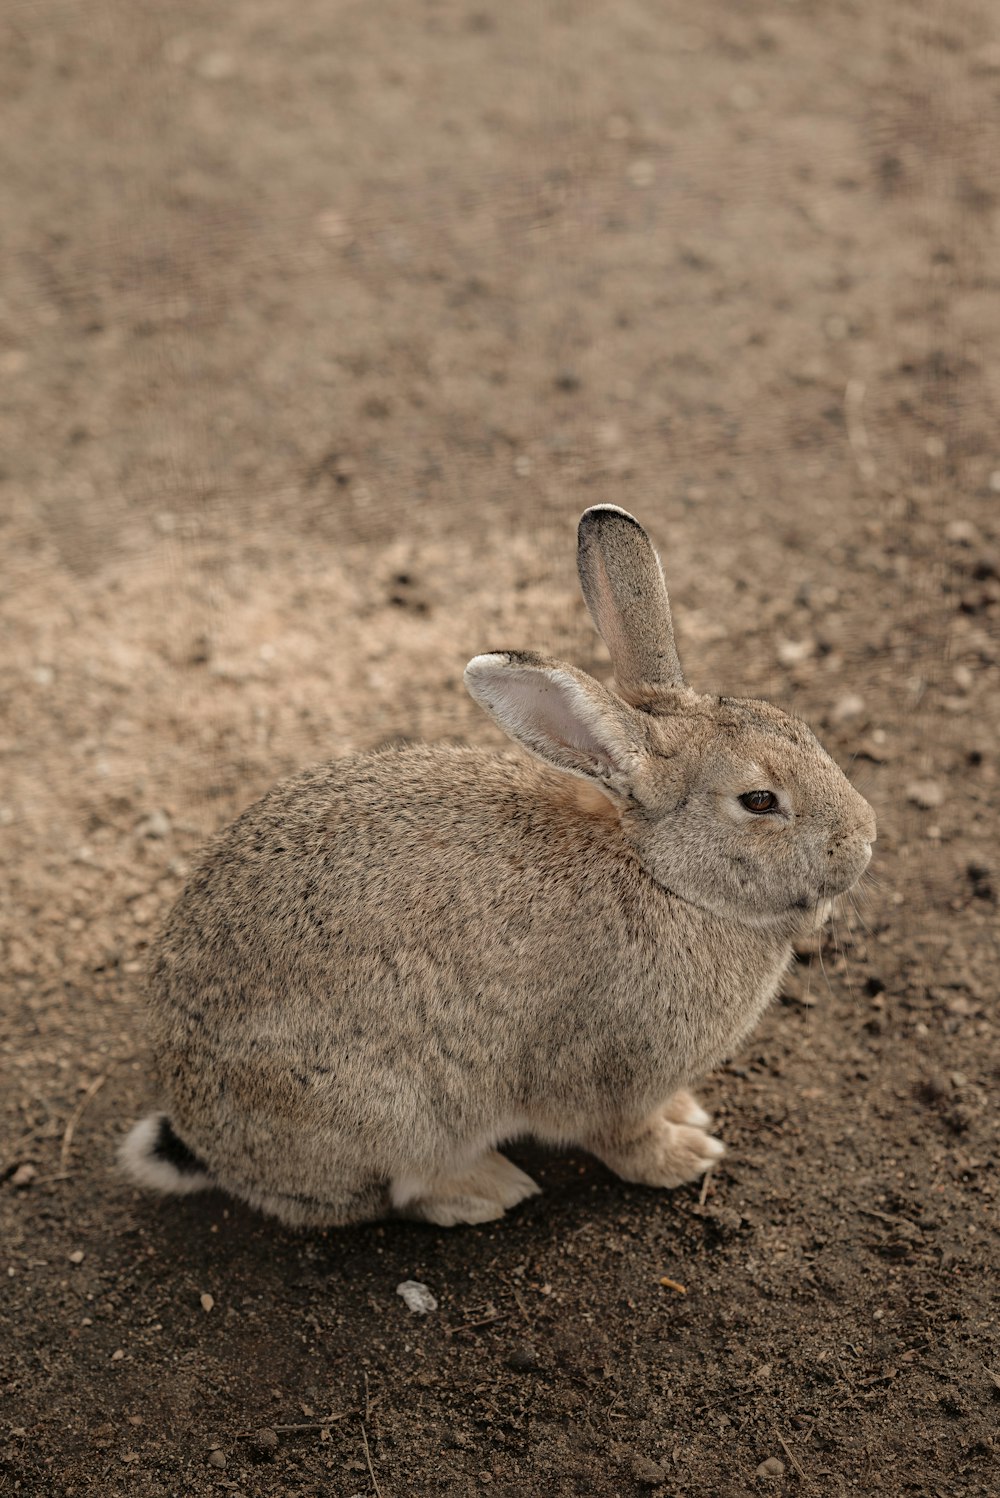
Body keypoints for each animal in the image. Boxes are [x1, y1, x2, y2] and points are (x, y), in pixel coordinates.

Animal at [119, 506, 874, 1228]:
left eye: (798, 726)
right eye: (759, 801)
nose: (864, 839)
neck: (664, 876)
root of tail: (204, 1140)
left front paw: (688, 1113)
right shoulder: (612, 1077)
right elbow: (625, 1139)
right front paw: (687, 1154)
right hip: (392, 1112)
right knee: (390, 1193)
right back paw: (486, 1190)